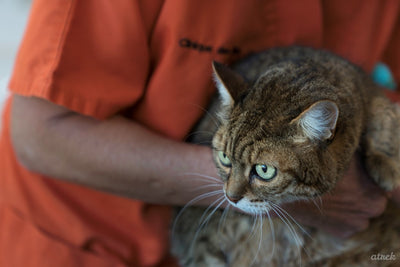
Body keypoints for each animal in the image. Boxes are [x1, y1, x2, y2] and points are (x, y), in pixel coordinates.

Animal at [171, 47, 400, 266]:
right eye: (225, 158)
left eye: (264, 170)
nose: (231, 198)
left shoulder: (367, 89)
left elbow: (384, 112)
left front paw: (386, 163)